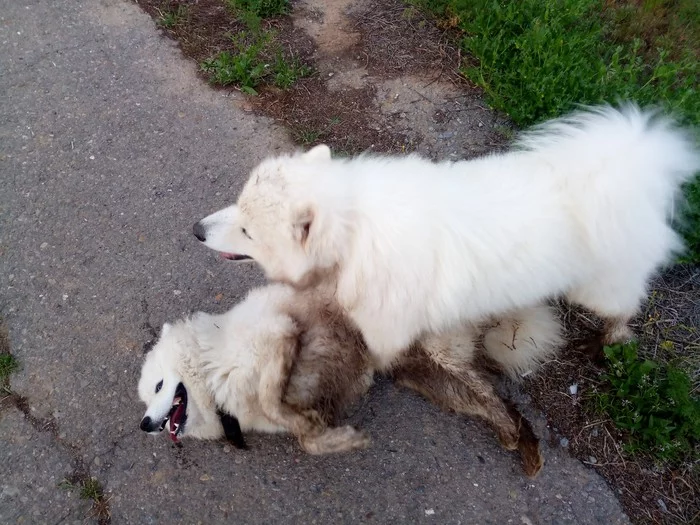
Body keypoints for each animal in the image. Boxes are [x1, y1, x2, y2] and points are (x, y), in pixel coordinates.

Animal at [138, 282, 564, 474]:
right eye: (145, 400)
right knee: (492, 398)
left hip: (439, 353)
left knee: (490, 395)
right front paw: (328, 435)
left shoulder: (281, 335)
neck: (214, 363)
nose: (144, 424)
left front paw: (337, 438)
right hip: (428, 379)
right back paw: (523, 444)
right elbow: (303, 432)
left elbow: (282, 410)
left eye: (158, 386)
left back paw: (516, 438)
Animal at [193, 104, 700, 368]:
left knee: (625, 306)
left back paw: (614, 337)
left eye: (247, 230)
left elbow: (379, 355)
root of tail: (632, 170)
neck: (354, 233)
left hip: (600, 289)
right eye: (237, 206)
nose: (196, 230)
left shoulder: (387, 327)